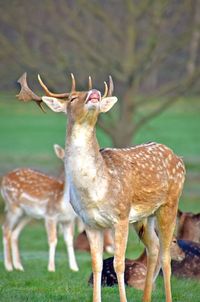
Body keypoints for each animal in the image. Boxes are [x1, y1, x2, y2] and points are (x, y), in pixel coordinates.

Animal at [1, 143, 78, 272]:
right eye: (64, 159)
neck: (63, 203)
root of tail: (3, 178)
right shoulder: (50, 215)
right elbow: (53, 240)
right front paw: (51, 268)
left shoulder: (69, 219)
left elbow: (69, 240)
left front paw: (74, 268)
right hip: (13, 206)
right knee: (6, 228)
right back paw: (9, 267)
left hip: (27, 214)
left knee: (15, 233)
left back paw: (19, 266)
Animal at [16, 72, 186, 302]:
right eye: (72, 98)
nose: (94, 92)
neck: (95, 190)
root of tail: (179, 158)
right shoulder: (89, 222)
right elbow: (96, 264)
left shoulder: (121, 216)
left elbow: (118, 263)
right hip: (143, 217)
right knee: (154, 248)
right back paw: (146, 298)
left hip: (169, 204)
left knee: (166, 254)